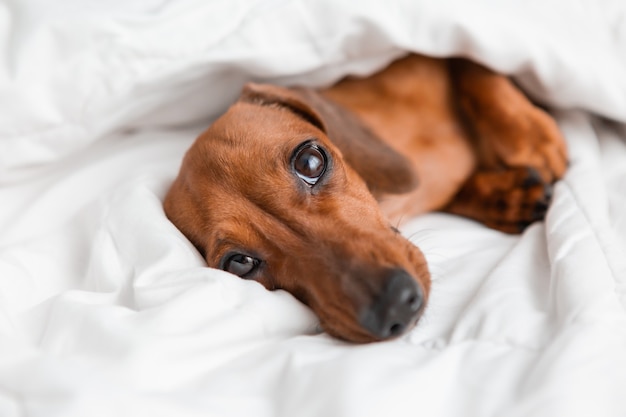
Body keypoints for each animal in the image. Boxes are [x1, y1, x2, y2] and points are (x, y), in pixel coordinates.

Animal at [163, 53, 568, 342]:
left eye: (310, 161)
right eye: (241, 263)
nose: (395, 307)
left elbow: (472, 64)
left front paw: (529, 136)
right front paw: (504, 196)